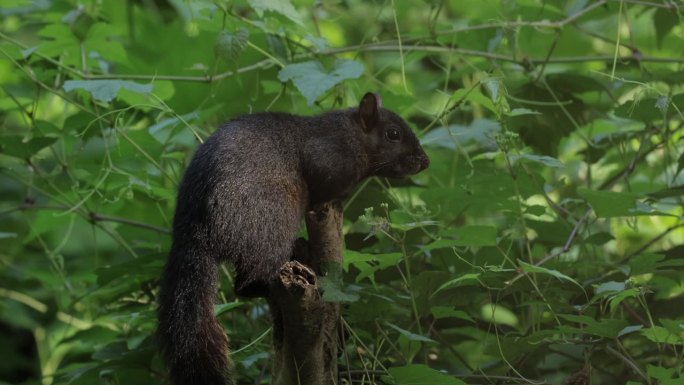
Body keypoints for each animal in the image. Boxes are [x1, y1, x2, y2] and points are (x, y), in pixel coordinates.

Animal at [158, 93, 430, 384]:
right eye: (393, 134)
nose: (424, 161)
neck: (352, 134)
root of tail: (197, 230)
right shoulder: (327, 157)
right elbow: (322, 188)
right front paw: (334, 200)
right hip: (271, 225)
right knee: (246, 283)